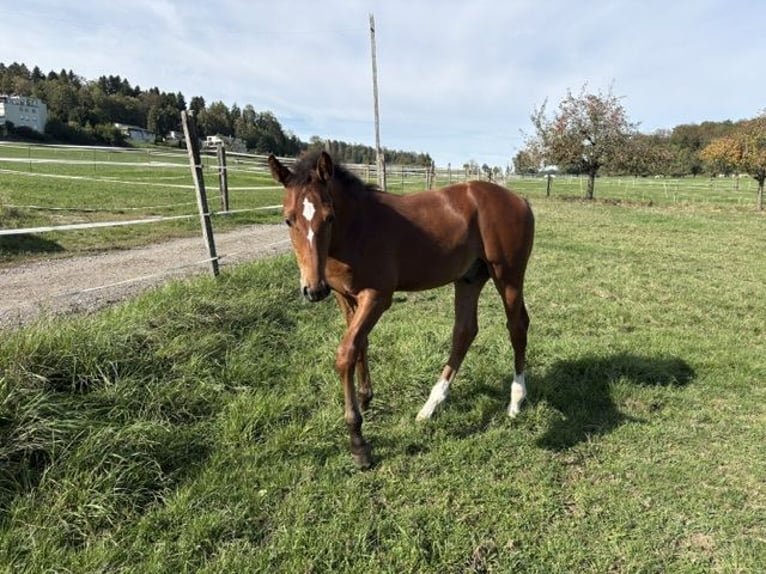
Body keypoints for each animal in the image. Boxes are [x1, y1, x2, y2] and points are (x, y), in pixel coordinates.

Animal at [268, 151, 534, 468]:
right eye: (288, 219)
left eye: (329, 216)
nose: (314, 289)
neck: (357, 228)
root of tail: (520, 199)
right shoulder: (344, 296)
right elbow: (360, 344)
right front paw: (365, 398)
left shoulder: (377, 296)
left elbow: (345, 353)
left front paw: (358, 442)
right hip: (470, 278)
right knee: (465, 331)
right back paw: (431, 406)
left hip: (508, 276)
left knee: (517, 326)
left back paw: (516, 400)